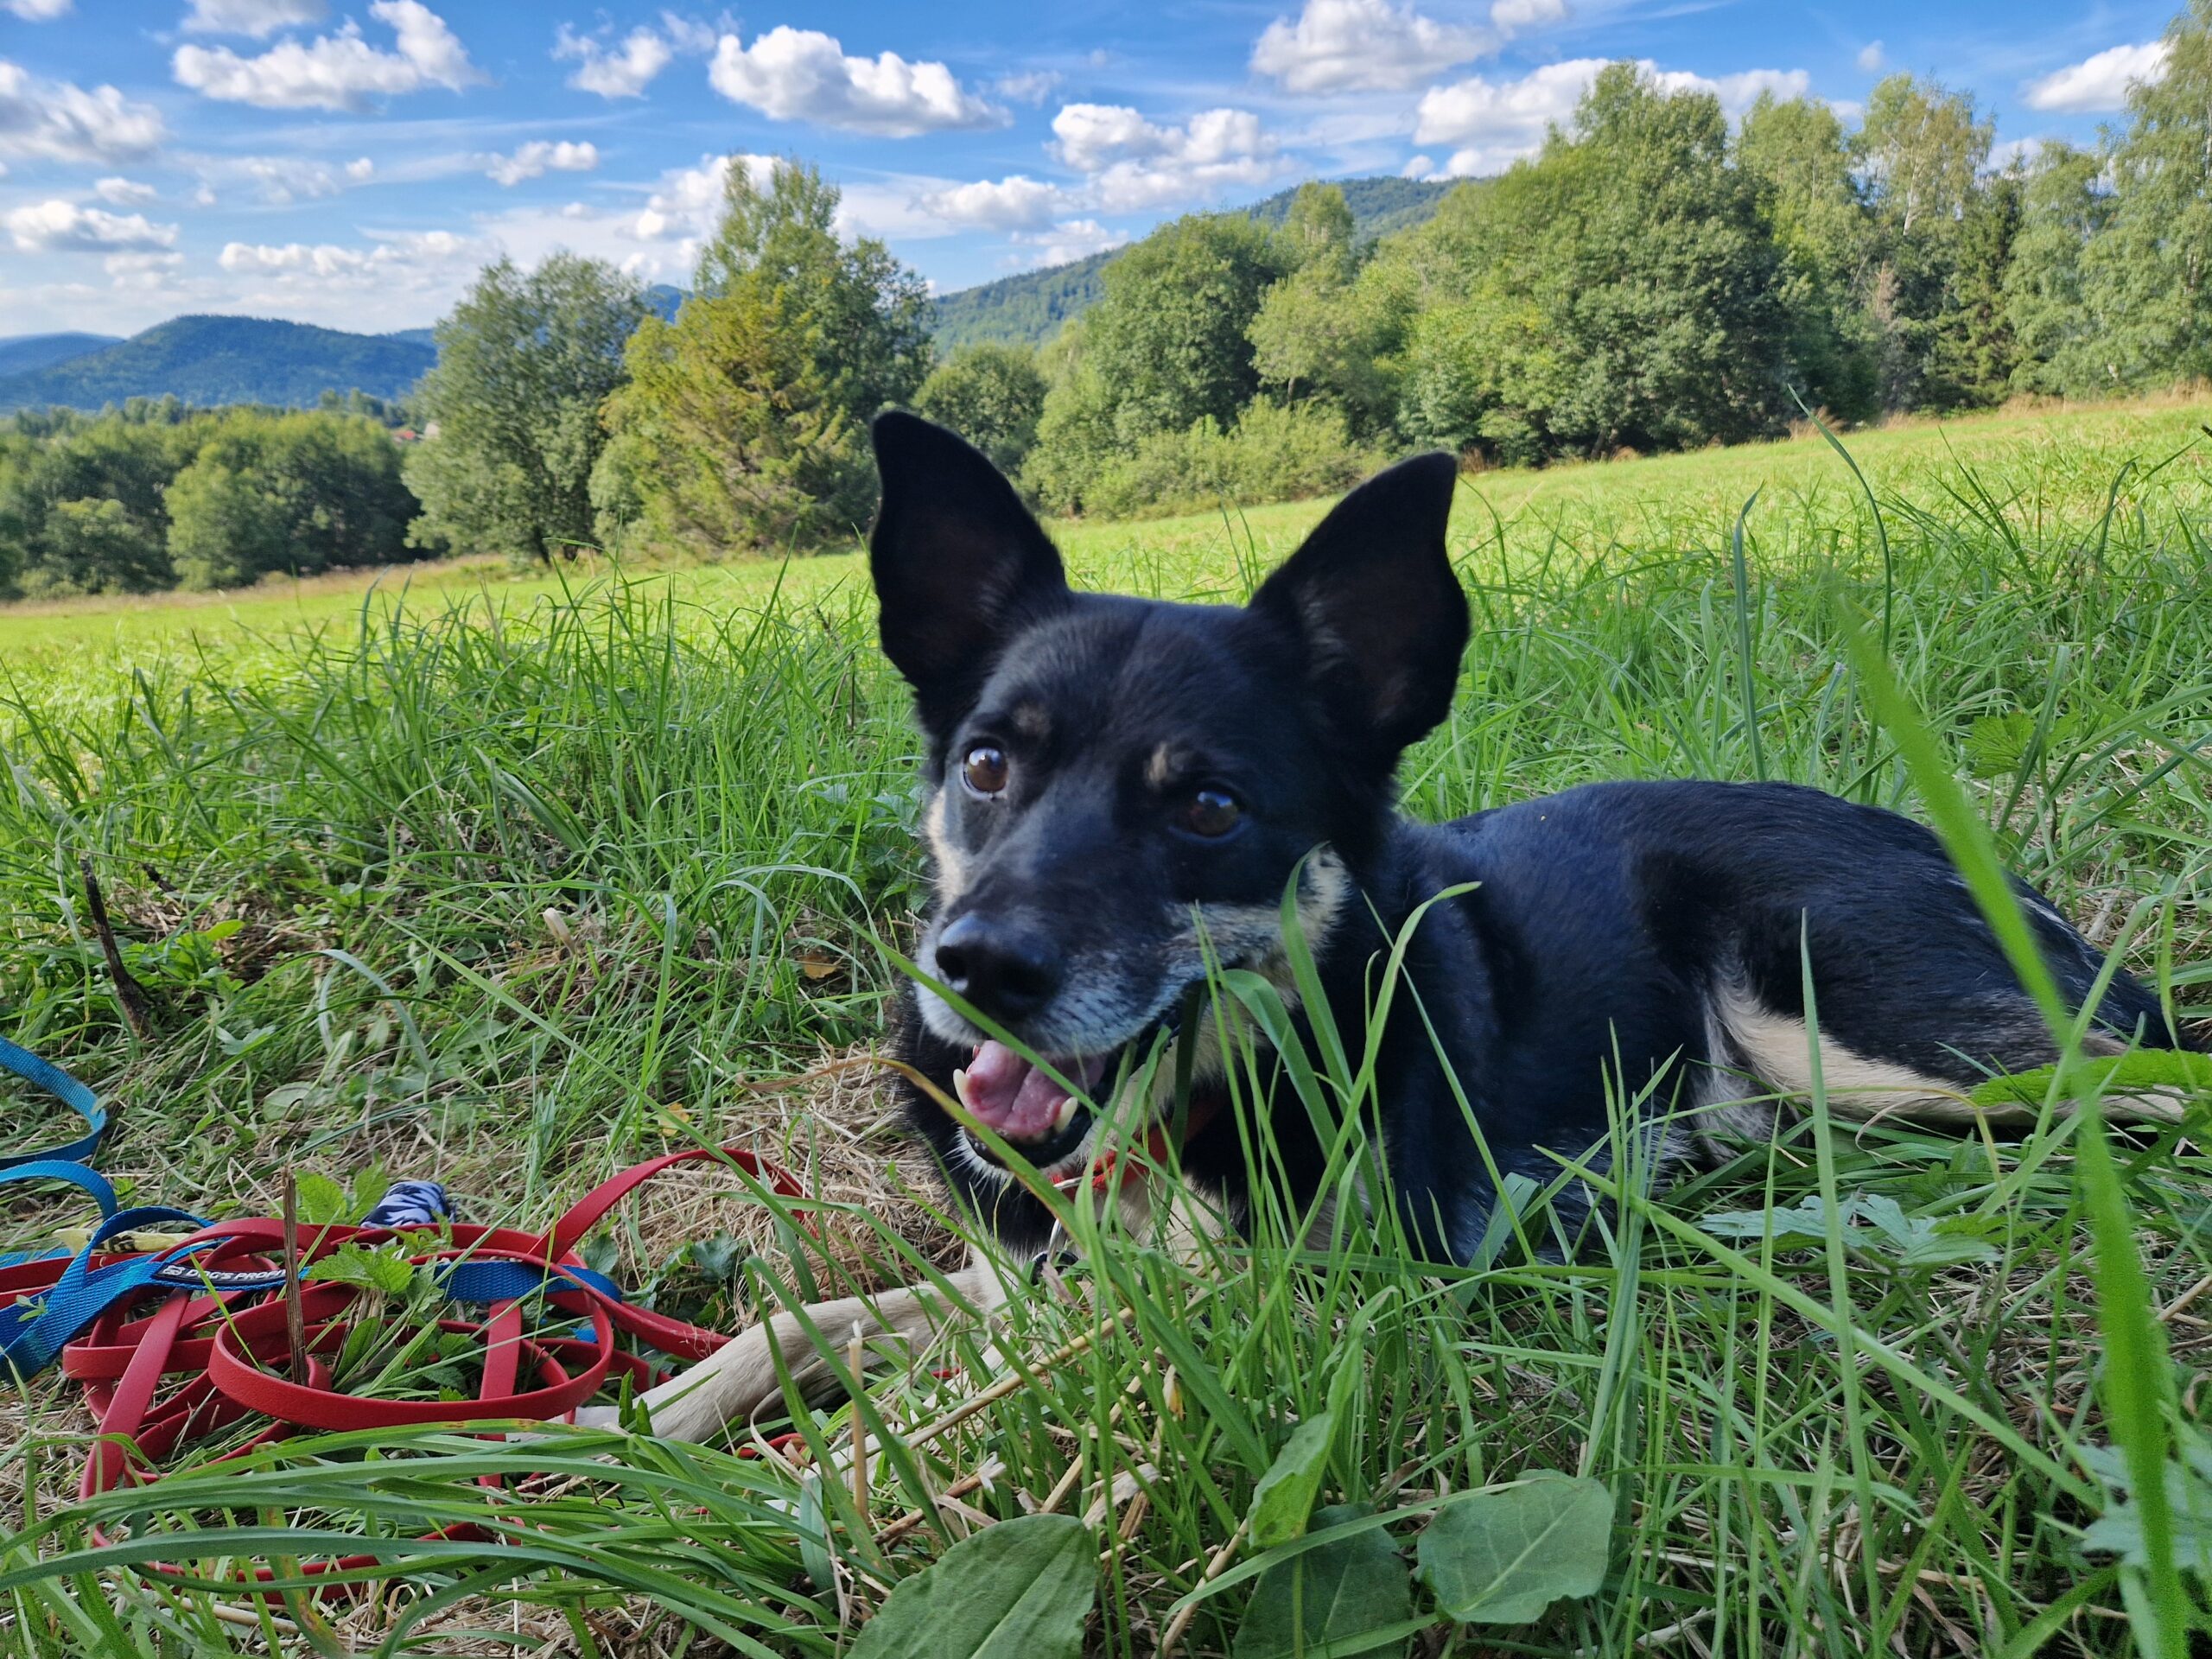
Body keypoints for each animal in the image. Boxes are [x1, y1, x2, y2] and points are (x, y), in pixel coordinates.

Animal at [611, 412, 2202, 1442]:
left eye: (1210, 806)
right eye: (989, 765)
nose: (974, 975)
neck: (1200, 1105)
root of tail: (1949, 844)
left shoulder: (1323, 1301)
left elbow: (1004, 1379)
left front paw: (835, 1474)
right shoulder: (1028, 1268)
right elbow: (808, 1324)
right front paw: (625, 1433)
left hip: (1869, 1023)